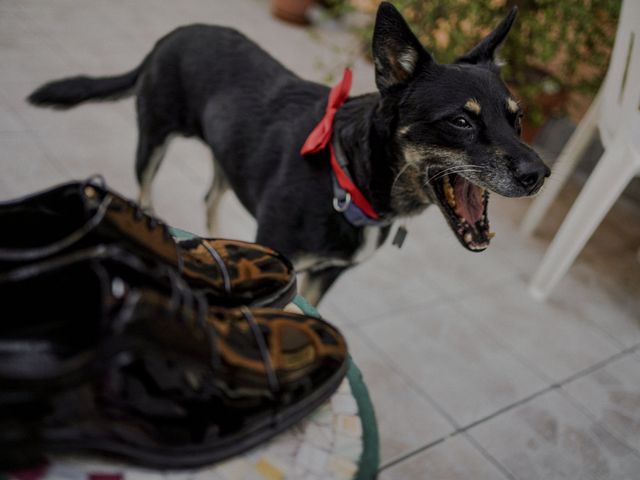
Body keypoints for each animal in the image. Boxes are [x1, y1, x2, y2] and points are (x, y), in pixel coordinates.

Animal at [27, 0, 548, 304]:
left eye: (517, 118)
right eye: (461, 121)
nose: (539, 173)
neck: (348, 179)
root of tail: (169, 37)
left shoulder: (328, 275)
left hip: (226, 153)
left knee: (210, 197)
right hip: (153, 137)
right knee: (146, 186)